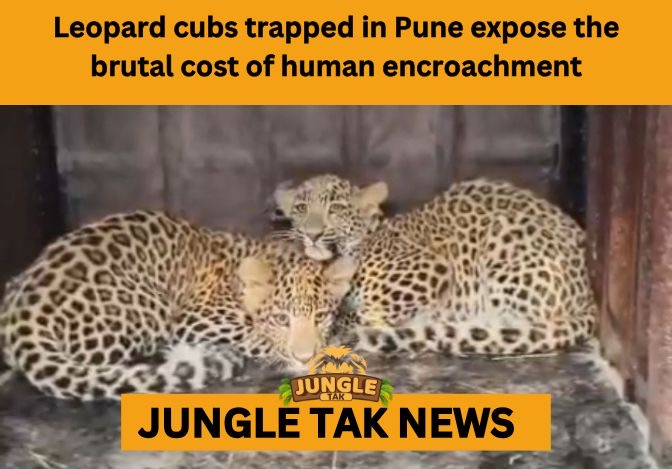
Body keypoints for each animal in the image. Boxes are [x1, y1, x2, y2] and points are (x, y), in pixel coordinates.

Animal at [0, 210, 356, 401]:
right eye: (281, 319)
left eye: (321, 316)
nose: (305, 357)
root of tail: (27, 312)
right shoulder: (197, 318)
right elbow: (254, 336)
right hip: (150, 309)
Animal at [273, 174, 597, 358]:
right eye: (301, 208)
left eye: (336, 209)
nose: (312, 234)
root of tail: (589, 296)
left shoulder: (432, 269)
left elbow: (367, 313)